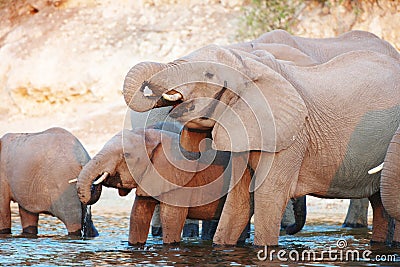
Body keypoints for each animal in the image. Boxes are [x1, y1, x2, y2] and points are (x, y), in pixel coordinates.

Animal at [121, 37, 400, 247]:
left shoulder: (290, 135)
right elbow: (238, 201)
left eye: (208, 74)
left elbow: (268, 196)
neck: (248, 65)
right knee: (380, 202)